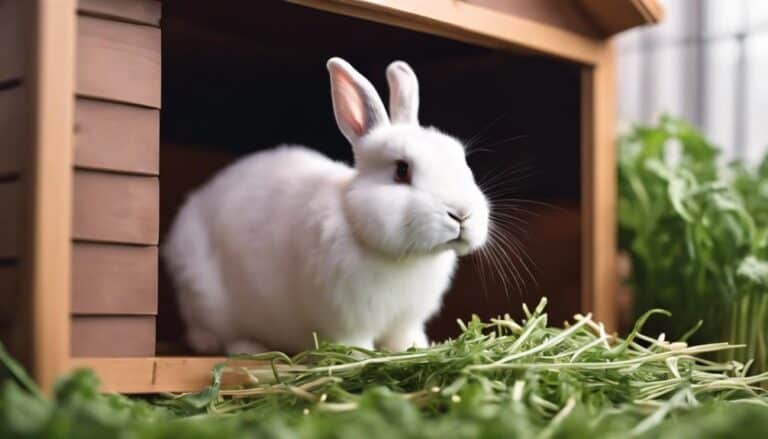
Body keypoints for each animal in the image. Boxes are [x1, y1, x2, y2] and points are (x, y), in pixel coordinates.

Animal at [162, 57, 490, 355]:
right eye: (401, 170)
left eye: (462, 161)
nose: (461, 214)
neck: (405, 258)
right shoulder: (348, 321)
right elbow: (355, 346)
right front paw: (359, 357)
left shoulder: (406, 320)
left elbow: (405, 339)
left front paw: (417, 350)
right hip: (206, 296)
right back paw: (242, 348)